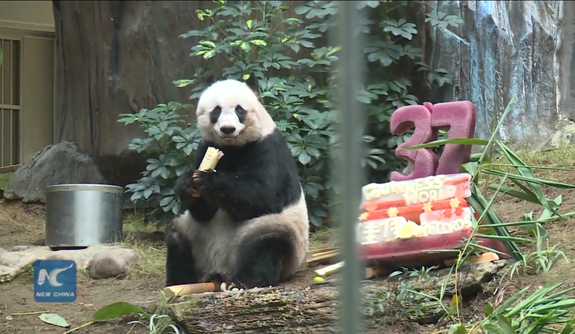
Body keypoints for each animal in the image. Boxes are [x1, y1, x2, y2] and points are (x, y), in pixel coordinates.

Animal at [164, 73, 310, 290]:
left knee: (266, 245)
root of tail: (220, 269)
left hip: (269, 229)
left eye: (239, 109)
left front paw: (209, 180)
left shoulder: (268, 147)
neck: (232, 147)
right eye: (216, 110)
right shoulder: (206, 147)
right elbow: (203, 213)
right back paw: (180, 282)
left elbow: (264, 195)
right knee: (178, 239)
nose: (227, 129)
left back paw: (241, 282)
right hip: (195, 235)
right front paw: (188, 183)